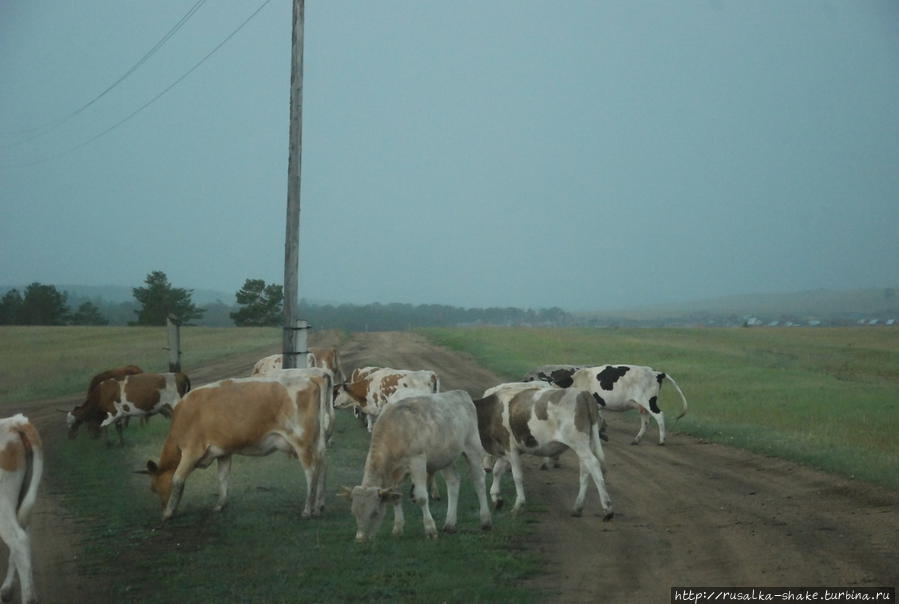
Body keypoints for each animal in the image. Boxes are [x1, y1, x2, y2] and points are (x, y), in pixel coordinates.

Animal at [143, 372, 330, 520]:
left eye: (154, 488)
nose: (161, 507)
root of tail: (312, 377)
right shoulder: (223, 451)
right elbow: (223, 477)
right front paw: (220, 505)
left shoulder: (191, 451)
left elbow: (177, 480)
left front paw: (168, 513)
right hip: (317, 443)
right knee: (322, 467)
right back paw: (319, 506)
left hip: (301, 442)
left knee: (311, 471)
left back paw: (307, 509)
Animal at [348, 392, 496, 544]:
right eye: (354, 512)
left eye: (374, 513)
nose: (361, 539)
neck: (395, 430)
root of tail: (461, 393)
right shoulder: (394, 474)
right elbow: (395, 497)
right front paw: (397, 529)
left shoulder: (417, 461)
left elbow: (421, 497)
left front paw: (430, 530)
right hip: (445, 457)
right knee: (453, 482)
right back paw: (449, 524)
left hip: (472, 446)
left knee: (478, 480)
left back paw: (485, 521)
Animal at [474, 382, 616, 520]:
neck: (491, 411)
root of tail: (582, 393)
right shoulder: (503, 450)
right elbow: (497, 471)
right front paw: (496, 498)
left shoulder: (510, 448)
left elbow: (517, 476)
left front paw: (518, 505)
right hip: (586, 443)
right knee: (586, 470)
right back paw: (578, 508)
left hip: (579, 443)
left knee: (594, 464)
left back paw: (607, 508)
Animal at [520, 364, 688, 444]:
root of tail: (657, 372)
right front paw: (601, 434)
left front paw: (601, 435)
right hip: (641, 405)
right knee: (645, 421)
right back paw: (636, 440)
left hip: (649, 401)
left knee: (659, 416)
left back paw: (661, 440)